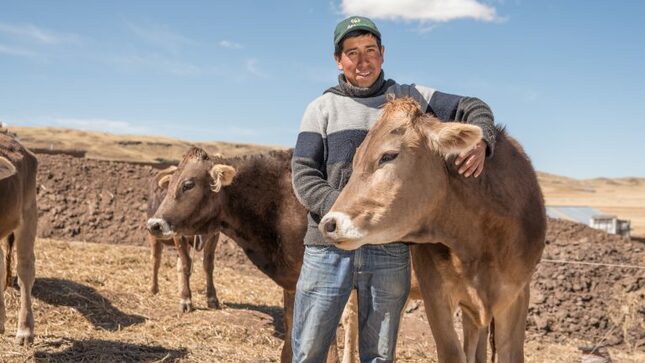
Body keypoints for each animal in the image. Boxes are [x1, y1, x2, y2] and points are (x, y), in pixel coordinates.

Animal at [145, 166, 220, 312]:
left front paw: (212, 298)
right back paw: (154, 288)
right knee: (156, 260)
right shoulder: (178, 235)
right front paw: (186, 300)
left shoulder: (214, 235)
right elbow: (185, 265)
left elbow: (208, 265)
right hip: (153, 234)